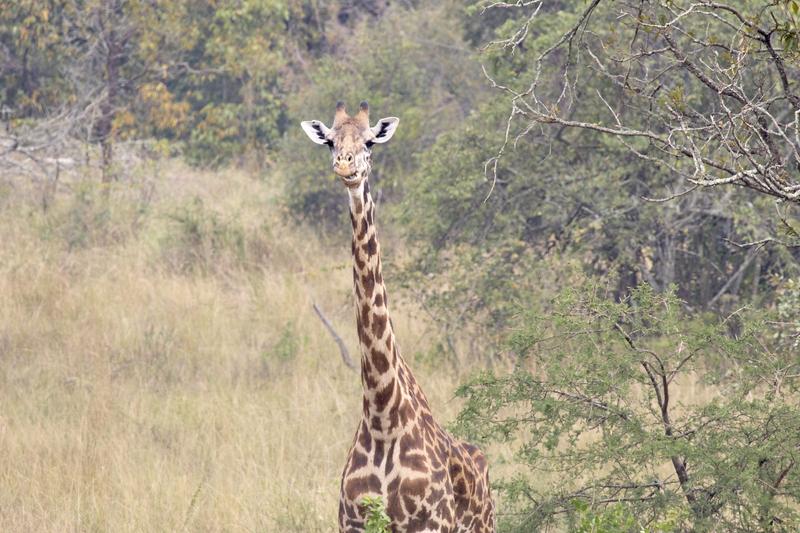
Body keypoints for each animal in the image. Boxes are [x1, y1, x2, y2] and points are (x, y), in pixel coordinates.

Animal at [304, 101, 496, 532]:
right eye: (331, 142)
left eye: (370, 142)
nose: (345, 166)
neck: (382, 416)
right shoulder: (352, 522)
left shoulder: (430, 523)